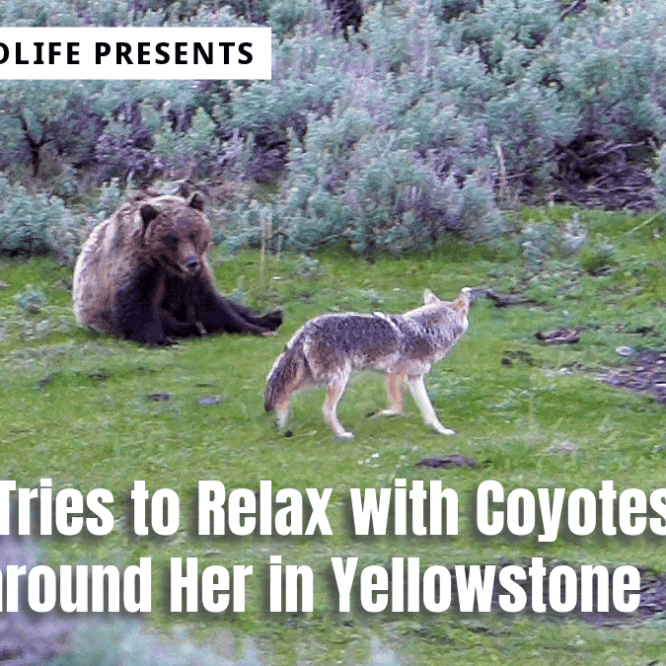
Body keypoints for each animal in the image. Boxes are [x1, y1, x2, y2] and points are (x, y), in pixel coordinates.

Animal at [73, 190, 282, 345]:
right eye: (172, 238)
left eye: (193, 233)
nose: (191, 262)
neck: (169, 266)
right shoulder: (139, 270)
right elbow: (138, 310)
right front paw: (162, 340)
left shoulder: (194, 277)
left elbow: (211, 304)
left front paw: (259, 328)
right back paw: (192, 328)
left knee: (233, 305)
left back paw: (272, 316)